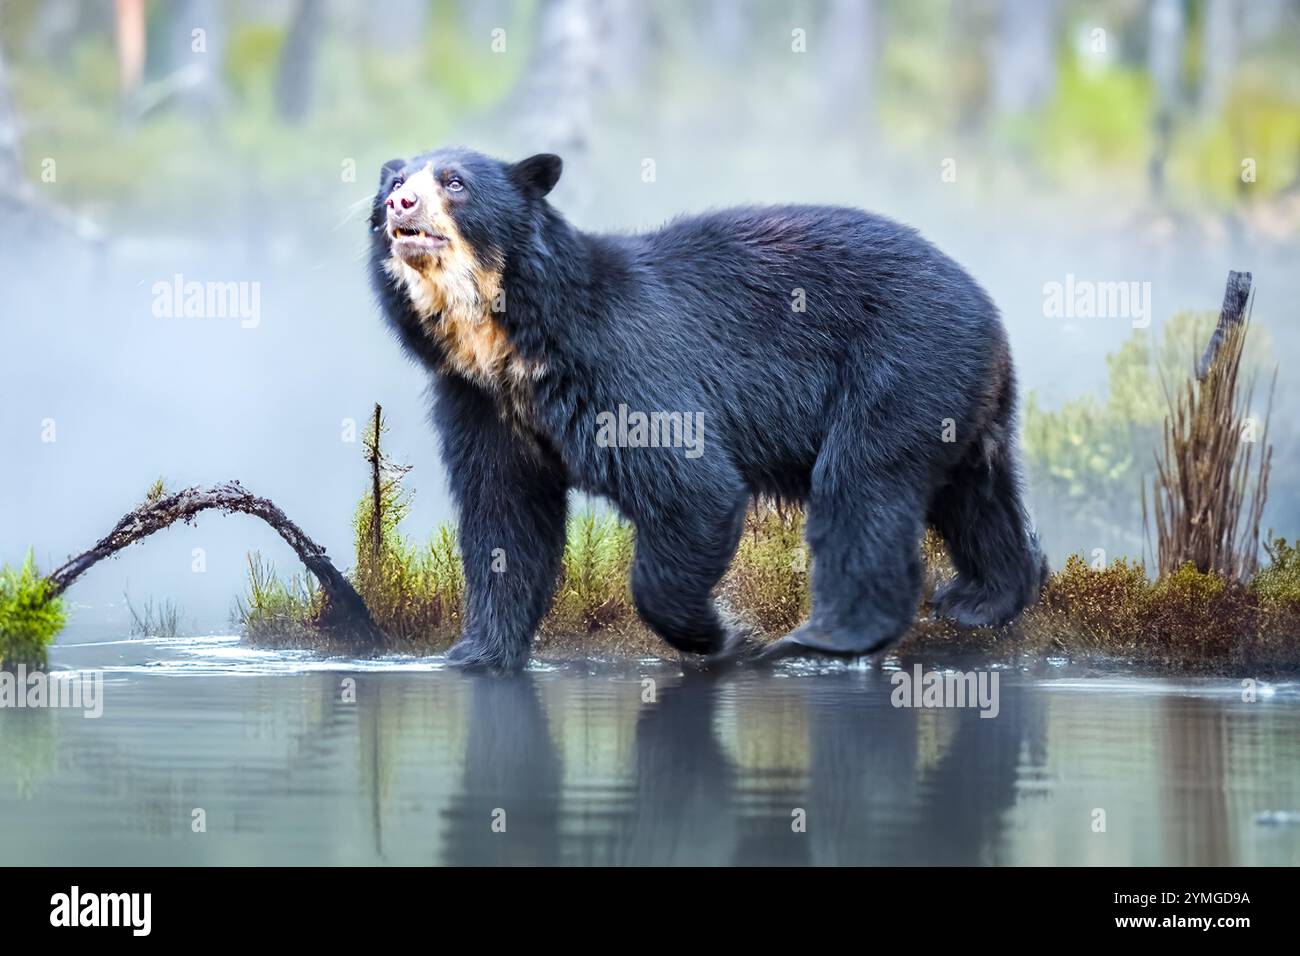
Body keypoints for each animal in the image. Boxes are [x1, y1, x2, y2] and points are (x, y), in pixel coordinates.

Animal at [369, 146, 1047, 670]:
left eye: (454, 181)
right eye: (396, 182)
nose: (400, 205)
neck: (503, 337)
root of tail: (986, 307)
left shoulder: (619, 363)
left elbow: (690, 486)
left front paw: (723, 634)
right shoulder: (479, 401)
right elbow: (503, 515)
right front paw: (475, 653)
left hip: (901, 361)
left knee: (863, 484)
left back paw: (826, 635)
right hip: (952, 394)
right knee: (974, 494)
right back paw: (984, 596)